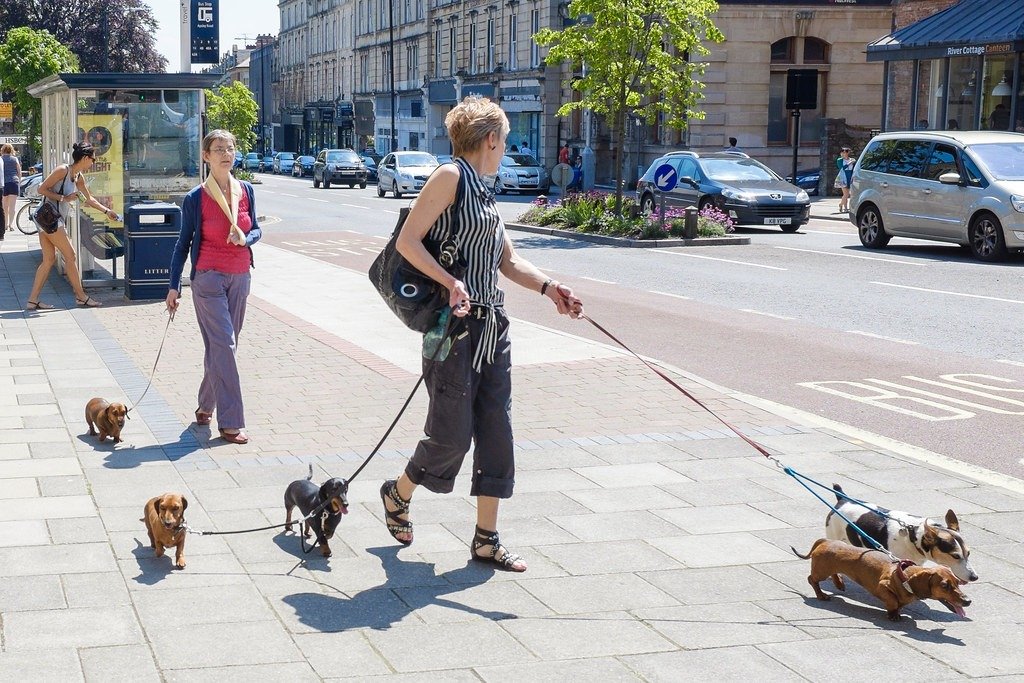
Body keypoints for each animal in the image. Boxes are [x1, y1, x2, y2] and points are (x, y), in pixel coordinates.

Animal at [823, 483, 974, 585]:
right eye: (955, 556)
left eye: (969, 553)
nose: (975, 577)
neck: (913, 536)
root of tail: (843, 499)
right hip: (833, 535)